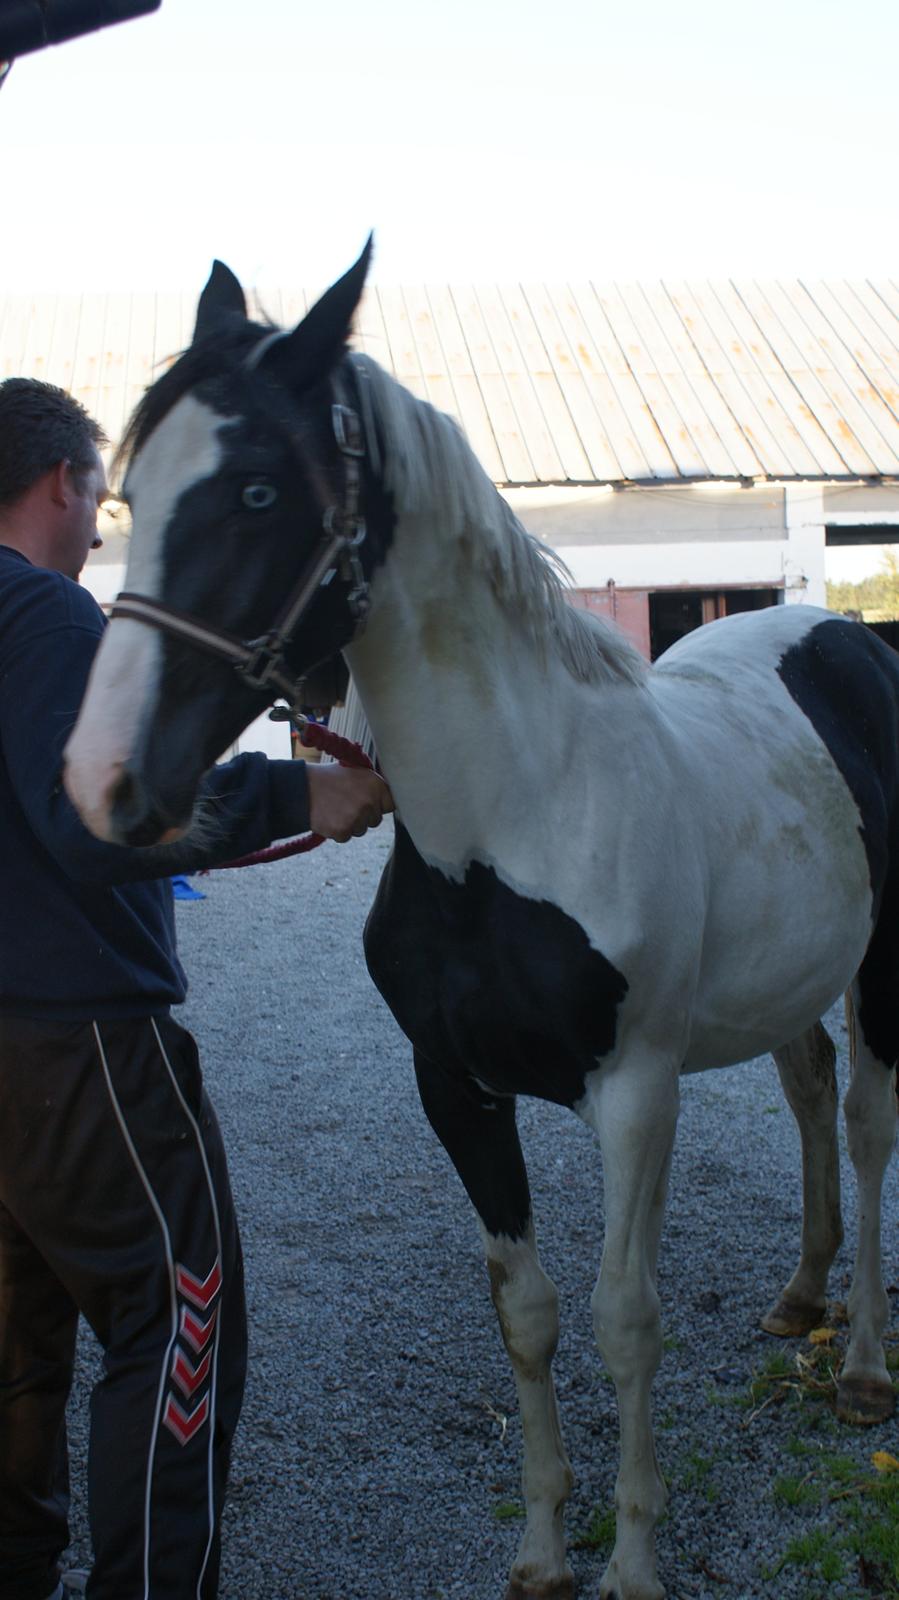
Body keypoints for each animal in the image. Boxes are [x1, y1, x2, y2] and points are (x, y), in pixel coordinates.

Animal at [59, 236, 889, 1600]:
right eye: (130, 488)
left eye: (254, 491)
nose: (103, 778)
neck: (519, 812)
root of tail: (841, 630)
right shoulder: (454, 1086)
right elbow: (527, 1313)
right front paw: (545, 1549)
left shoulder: (634, 1092)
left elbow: (622, 1317)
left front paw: (634, 1561)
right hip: (782, 981)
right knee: (810, 1090)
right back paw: (801, 1292)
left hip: (882, 966)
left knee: (867, 1123)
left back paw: (864, 1360)